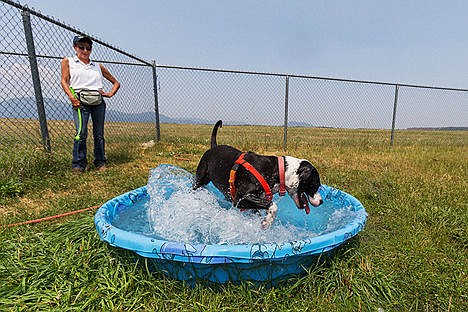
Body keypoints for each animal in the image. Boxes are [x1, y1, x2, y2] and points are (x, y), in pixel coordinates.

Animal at [193, 120, 322, 228]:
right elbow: (273, 205)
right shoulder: (241, 198)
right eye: (315, 185)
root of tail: (213, 147)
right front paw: (268, 221)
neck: (278, 170)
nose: (321, 201)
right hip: (200, 180)